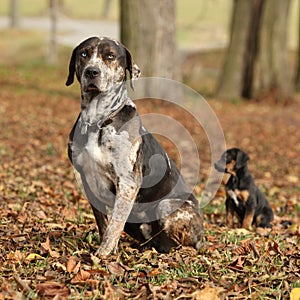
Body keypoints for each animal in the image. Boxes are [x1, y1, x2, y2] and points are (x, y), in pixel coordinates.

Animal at [65, 35, 202, 255]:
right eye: (84, 53)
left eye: (110, 56)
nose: (92, 71)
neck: (98, 120)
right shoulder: (87, 180)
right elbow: (104, 224)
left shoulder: (127, 183)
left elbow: (114, 226)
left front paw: (103, 255)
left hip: (167, 205)